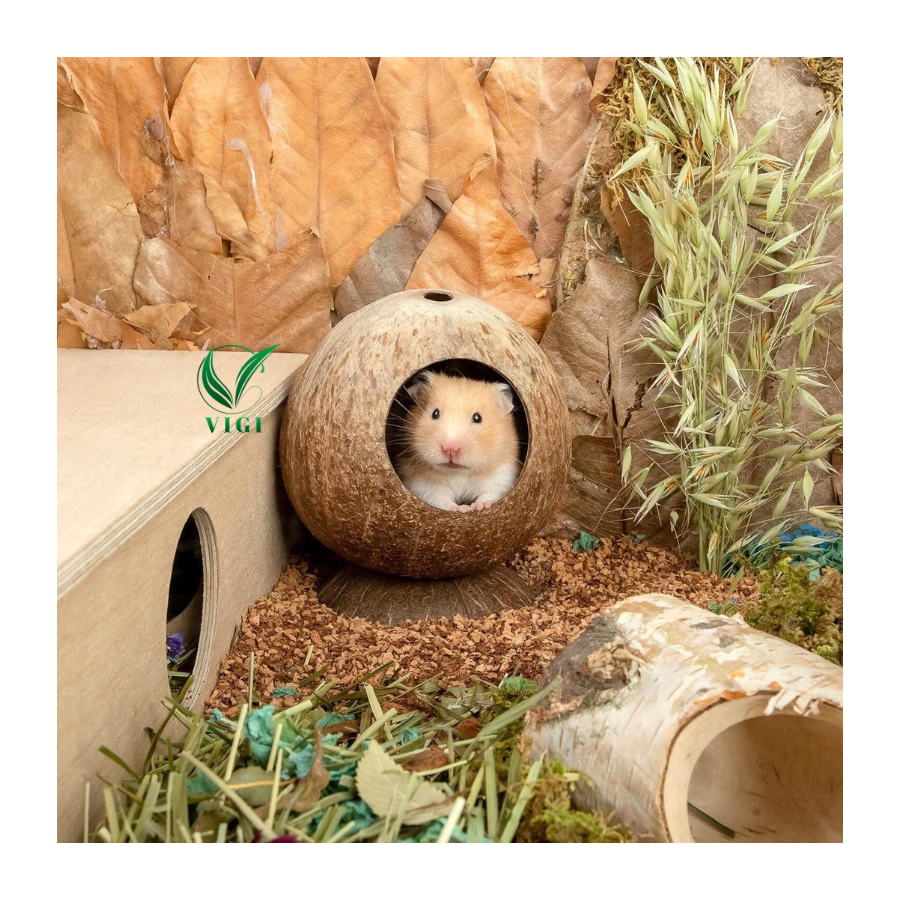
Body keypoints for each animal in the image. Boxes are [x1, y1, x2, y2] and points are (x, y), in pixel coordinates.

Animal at [396, 371, 522, 512]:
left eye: (477, 418)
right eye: (435, 413)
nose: (450, 449)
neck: (458, 472)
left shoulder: (503, 474)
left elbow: (490, 493)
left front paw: (478, 506)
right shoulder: (421, 482)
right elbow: (439, 498)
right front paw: (462, 509)